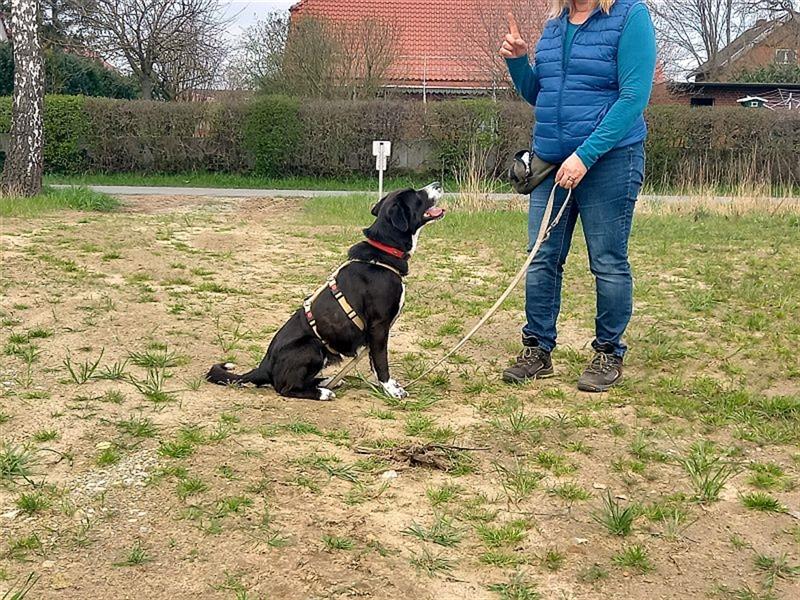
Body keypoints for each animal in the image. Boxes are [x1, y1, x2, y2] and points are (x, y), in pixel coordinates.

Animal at [203, 180, 446, 400]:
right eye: (416, 195)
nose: (438, 183)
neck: (382, 253)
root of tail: (265, 366)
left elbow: (374, 362)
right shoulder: (379, 327)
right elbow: (381, 362)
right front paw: (391, 389)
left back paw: (327, 381)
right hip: (312, 346)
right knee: (285, 387)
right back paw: (322, 392)